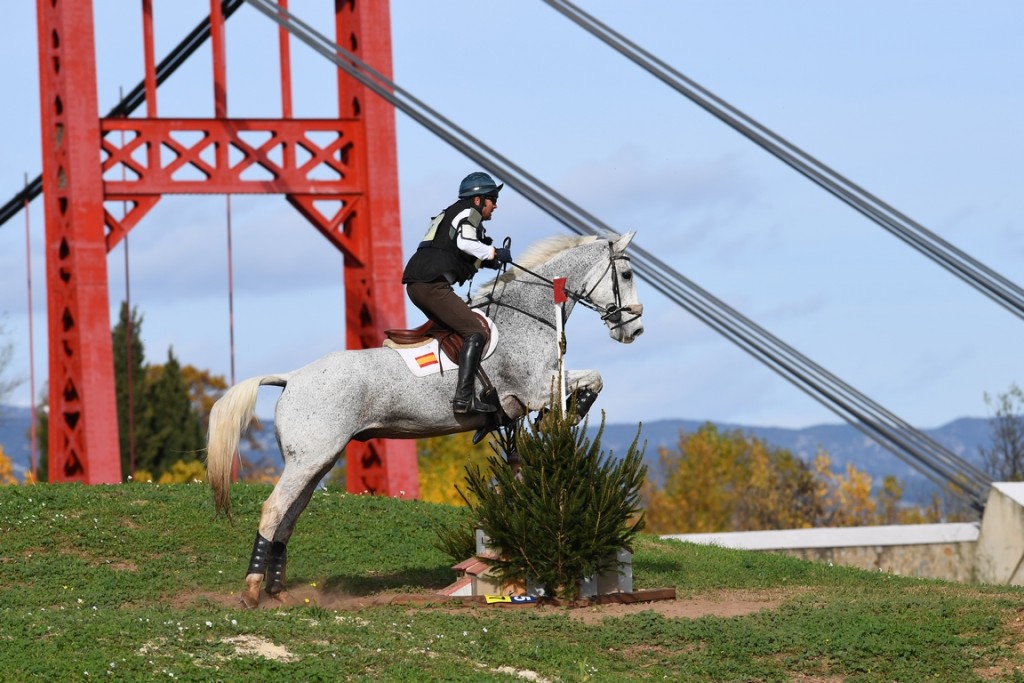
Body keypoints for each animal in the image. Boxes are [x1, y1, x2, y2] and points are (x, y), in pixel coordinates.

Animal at [203, 231, 643, 610]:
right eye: (626, 274)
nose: (635, 328)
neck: (530, 315)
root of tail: (291, 377)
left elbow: (588, 381)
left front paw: (563, 416)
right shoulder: (535, 387)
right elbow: (592, 378)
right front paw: (570, 412)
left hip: (316, 462)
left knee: (289, 518)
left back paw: (277, 592)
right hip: (309, 460)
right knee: (274, 510)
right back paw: (252, 592)